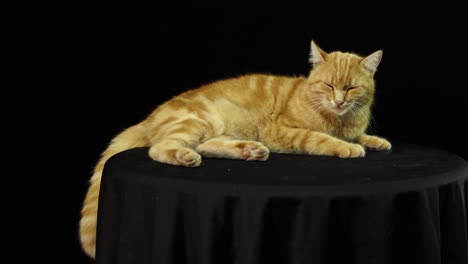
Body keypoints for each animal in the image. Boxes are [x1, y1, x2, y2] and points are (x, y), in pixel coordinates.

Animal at [79, 40, 392, 258]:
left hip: (214, 128)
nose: (339, 101)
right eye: (328, 85)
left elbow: (361, 135)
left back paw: (248, 150)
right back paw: (186, 156)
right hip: (196, 121)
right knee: (161, 148)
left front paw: (375, 141)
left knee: (207, 145)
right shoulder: (282, 132)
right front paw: (346, 147)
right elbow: (320, 139)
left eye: (351, 88)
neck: (339, 119)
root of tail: (151, 116)